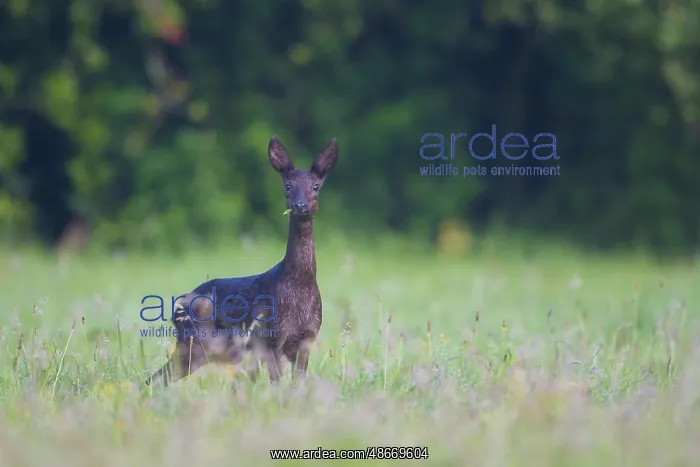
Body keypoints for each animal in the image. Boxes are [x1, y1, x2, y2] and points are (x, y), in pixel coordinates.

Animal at [145, 136, 338, 387]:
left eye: (316, 186)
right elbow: (278, 383)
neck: (299, 285)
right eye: (288, 186)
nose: (300, 206)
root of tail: (177, 305)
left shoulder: (307, 337)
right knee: (158, 378)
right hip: (198, 341)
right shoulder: (272, 335)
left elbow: (298, 383)